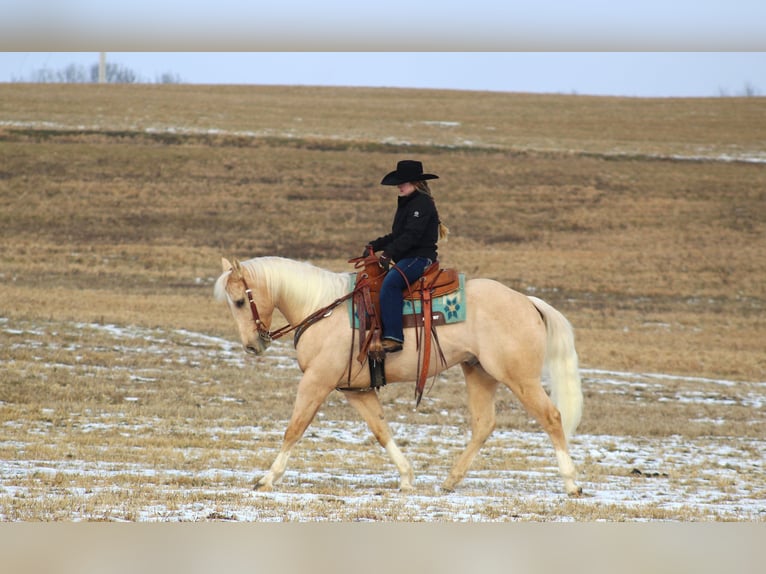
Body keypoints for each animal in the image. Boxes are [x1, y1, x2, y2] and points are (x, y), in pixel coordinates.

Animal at [213, 254, 584, 498]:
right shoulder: (356, 390)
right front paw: (406, 477)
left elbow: (294, 428)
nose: (252, 346)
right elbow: (381, 430)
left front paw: (266, 479)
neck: (322, 308)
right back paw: (450, 481)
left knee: (552, 417)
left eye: (239, 301)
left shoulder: (317, 382)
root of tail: (528, 301)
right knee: (484, 424)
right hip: (478, 372)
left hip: (520, 379)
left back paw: (571, 483)